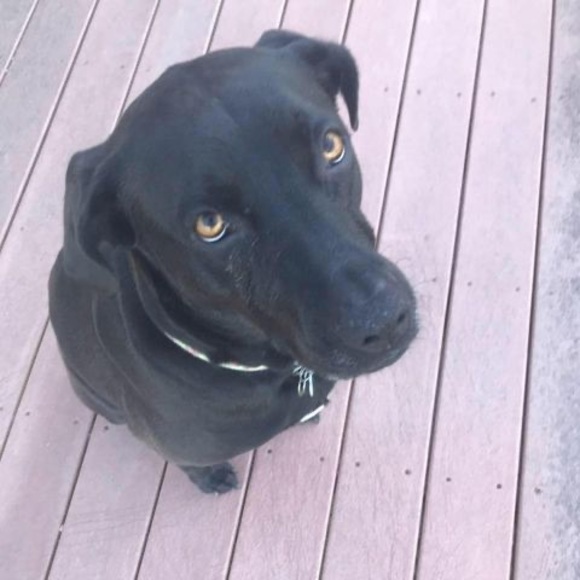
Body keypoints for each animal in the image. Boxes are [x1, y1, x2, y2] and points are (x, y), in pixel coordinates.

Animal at [48, 30, 417, 494]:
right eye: (210, 224)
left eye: (331, 145)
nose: (385, 321)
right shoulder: (175, 445)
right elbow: (190, 463)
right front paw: (210, 477)